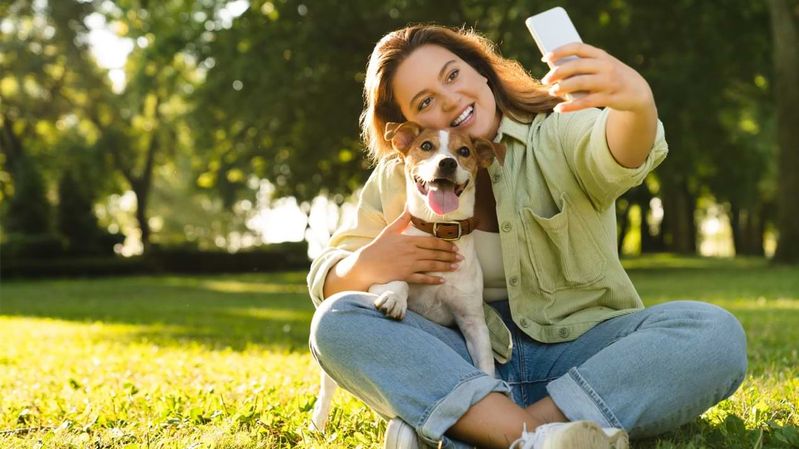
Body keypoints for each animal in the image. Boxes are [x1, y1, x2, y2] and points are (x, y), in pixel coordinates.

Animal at [310, 121, 494, 430]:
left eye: (464, 151)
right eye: (426, 146)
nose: (447, 162)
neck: (437, 229)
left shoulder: (472, 320)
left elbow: (487, 363)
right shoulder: (383, 269)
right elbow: (399, 283)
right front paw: (395, 300)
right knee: (327, 391)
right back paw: (317, 425)